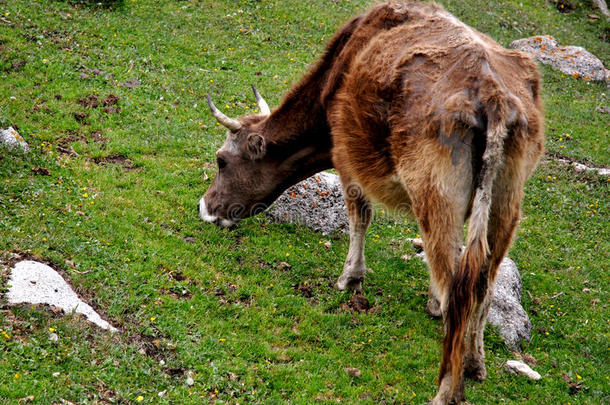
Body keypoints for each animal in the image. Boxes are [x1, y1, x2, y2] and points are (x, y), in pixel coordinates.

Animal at [198, 2, 540, 400]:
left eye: (222, 160)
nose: (204, 207)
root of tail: (492, 94)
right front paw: (430, 304)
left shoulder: (346, 156)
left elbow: (359, 217)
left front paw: (350, 279)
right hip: (505, 205)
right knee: (482, 283)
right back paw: (474, 363)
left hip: (435, 194)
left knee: (456, 288)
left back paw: (446, 390)